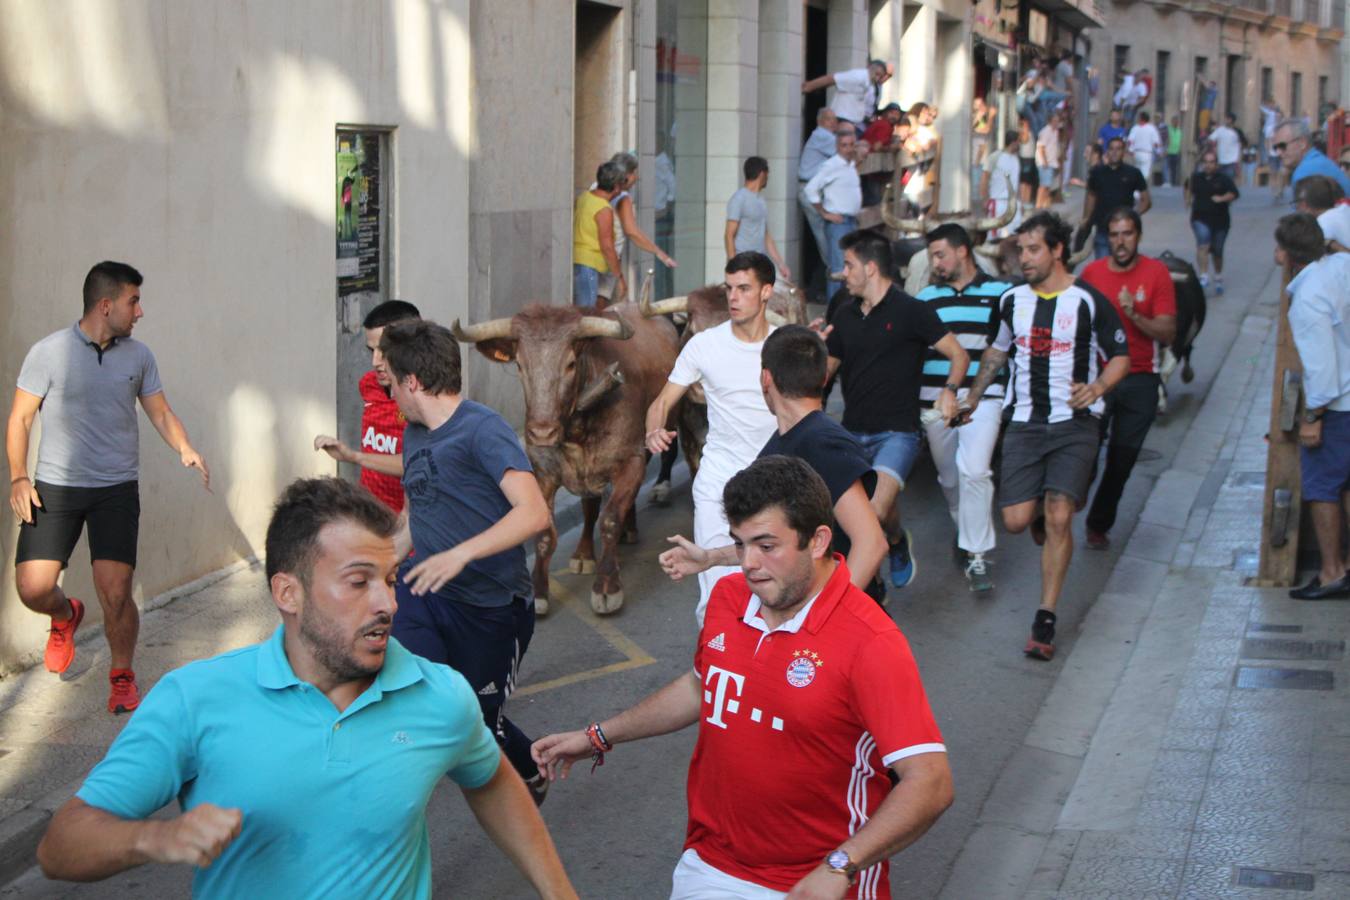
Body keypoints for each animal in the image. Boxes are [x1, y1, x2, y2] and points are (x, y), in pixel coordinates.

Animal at [453, 299, 680, 615]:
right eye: (519, 365)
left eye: (571, 364)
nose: (541, 432)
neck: (576, 430)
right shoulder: (542, 473)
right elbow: (545, 533)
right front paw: (539, 592)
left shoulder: (631, 461)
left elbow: (610, 520)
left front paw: (607, 587)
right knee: (589, 507)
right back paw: (584, 553)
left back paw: (629, 530)